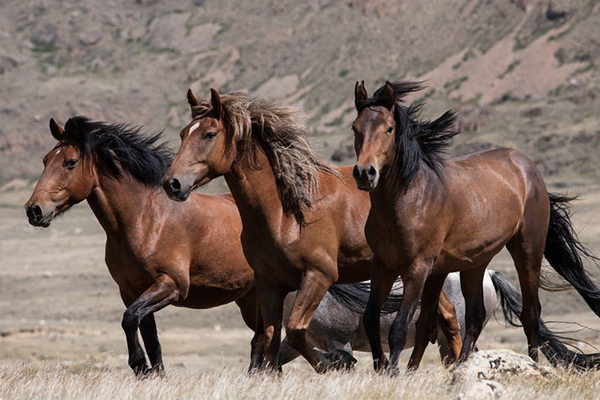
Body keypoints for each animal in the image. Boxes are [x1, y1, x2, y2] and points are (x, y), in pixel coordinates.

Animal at [24, 116, 258, 378]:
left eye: (70, 162)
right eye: (45, 160)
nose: (34, 210)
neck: (146, 219)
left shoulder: (171, 284)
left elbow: (129, 319)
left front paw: (139, 365)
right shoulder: (131, 291)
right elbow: (149, 336)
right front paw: (154, 374)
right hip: (249, 297)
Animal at [161, 90, 464, 372]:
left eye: (210, 134)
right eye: (182, 134)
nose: (171, 183)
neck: (287, 212)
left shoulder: (319, 275)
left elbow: (295, 331)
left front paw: (334, 361)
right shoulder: (269, 284)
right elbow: (270, 339)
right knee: (442, 316)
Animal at [350, 80, 600, 372]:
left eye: (389, 128)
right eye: (355, 127)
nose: (365, 173)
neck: (409, 198)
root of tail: (528, 167)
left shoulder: (417, 269)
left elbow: (399, 329)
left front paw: (392, 373)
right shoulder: (384, 266)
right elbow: (373, 319)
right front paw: (384, 368)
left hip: (528, 251)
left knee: (530, 313)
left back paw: (531, 364)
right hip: (474, 264)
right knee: (473, 317)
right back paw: (462, 365)